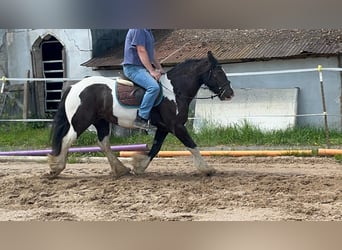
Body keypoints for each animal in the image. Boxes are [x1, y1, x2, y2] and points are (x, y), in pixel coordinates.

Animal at [48, 51, 234, 179]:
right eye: (218, 73)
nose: (229, 93)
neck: (174, 91)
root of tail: (74, 87)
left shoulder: (164, 128)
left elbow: (155, 148)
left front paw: (139, 166)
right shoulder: (177, 127)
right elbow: (192, 145)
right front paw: (207, 169)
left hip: (100, 121)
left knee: (104, 143)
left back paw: (121, 169)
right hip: (81, 121)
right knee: (67, 140)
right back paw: (56, 168)